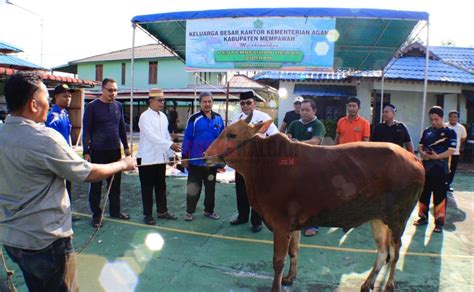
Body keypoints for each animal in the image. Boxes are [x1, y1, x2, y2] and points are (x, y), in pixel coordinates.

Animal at [205, 113, 426, 292]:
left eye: (232, 135)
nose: (206, 155)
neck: (263, 163)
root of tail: (414, 159)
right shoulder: (293, 225)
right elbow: (293, 252)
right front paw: (290, 278)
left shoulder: (280, 224)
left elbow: (278, 261)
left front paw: (276, 286)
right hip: (377, 218)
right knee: (382, 252)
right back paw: (367, 284)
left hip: (398, 219)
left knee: (395, 253)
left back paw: (388, 285)